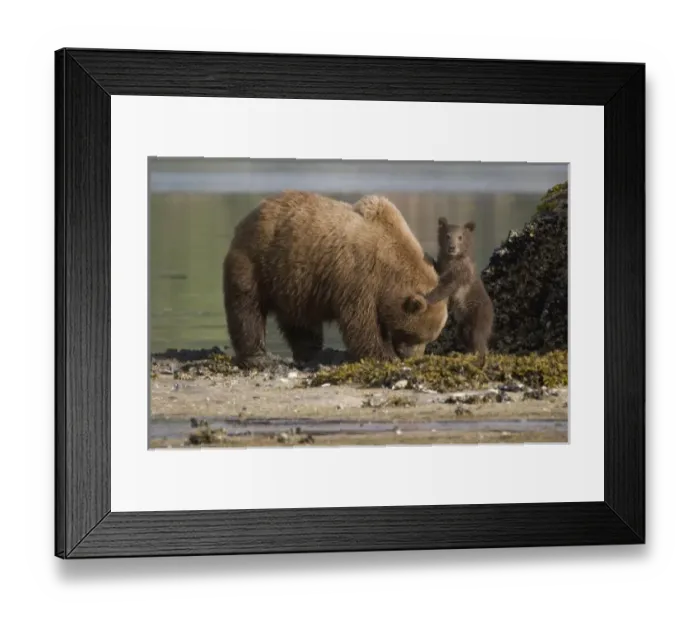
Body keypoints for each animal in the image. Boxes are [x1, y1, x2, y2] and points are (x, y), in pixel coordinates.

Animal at [222, 190, 449, 369]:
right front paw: (384, 355)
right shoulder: (358, 277)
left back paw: (313, 352)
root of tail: (252, 213)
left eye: (429, 338)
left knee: (300, 322)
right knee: (247, 307)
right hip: (256, 262)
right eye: (414, 335)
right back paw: (257, 356)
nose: (411, 357)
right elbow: (361, 323)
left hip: (294, 282)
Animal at [426, 217, 494, 365]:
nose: (452, 247)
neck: (452, 259)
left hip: (479, 312)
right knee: (463, 335)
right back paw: (467, 352)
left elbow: (447, 286)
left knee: (478, 335)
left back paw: (479, 356)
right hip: (463, 323)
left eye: (460, 237)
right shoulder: (443, 264)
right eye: (447, 236)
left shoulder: (461, 273)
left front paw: (428, 297)